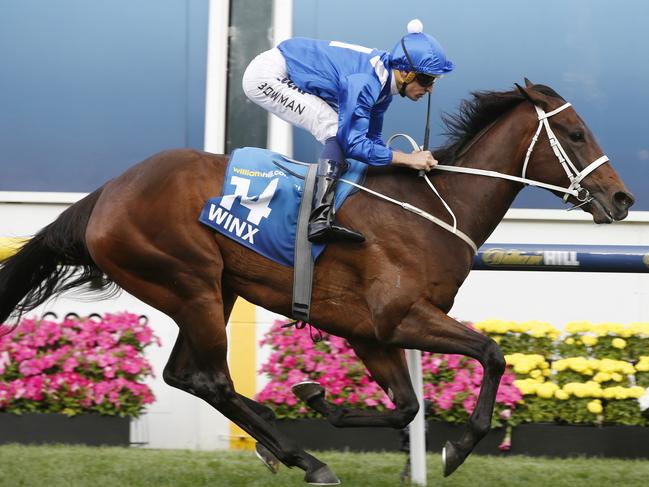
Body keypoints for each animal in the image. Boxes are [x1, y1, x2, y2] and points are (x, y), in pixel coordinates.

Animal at [0, 80, 632, 484]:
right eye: (575, 133)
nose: (623, 199)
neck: (434, 208)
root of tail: (107, 194)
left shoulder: (370, 333)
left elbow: (406, 407)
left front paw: (322, 400)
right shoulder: (400, 317)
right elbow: (493, 355)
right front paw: (454, 449)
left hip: (212, 290)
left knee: (185, 375)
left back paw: (275, 437)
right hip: (189, 281)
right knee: (212, 380)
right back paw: (301, 456)